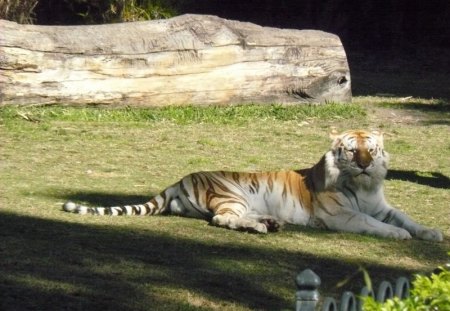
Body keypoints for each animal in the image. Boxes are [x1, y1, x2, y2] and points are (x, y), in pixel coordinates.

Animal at [62, 130, 442, 243]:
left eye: (371, 150)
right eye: (351, 150)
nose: (364, 163)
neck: (363, 187)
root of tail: (180, 179)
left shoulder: (383, 207)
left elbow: (406, 217)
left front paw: (431, 233)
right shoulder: (342, 216)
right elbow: (372, 223)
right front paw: (399, 236)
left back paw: (270, 223)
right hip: (233, 195)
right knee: (223, 219)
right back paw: (261, 228)